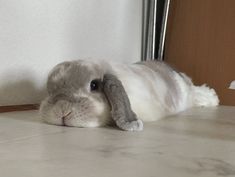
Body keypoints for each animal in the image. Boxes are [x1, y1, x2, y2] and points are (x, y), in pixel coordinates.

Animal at [39, 60, 219, 131]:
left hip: (187, 94)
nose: (62, 111)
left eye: (94, 85)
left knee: (197, 92)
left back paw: (213, 99)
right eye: (50, 90)